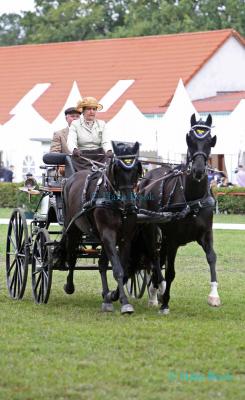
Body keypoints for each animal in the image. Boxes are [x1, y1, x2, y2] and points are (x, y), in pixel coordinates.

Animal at [58, 141, 142, 312]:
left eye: (136, 169)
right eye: (117, 169)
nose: (129, 203)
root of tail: (70, 179)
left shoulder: (125, 238)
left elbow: (123, 267)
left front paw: (114, 295)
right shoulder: (108, 234)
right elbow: (117, 269)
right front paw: (124, 302)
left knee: (101, 264)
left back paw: (107, 297)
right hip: (73, 230)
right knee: (72, 257)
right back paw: (69, 286)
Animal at [136, 112, 220, 312]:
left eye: (209, 141)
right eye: (190, 140)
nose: (198, 170)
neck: (192, 199)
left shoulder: (206, 234)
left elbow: (212, 258)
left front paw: (214, 295)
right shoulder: (173, 239)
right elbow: (171, 271)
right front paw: (165, 302)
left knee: (158, 259)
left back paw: (154, 291)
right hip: (151, 229)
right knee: (155, 257)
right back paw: (157, 290)